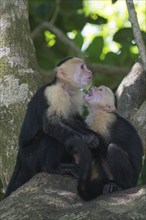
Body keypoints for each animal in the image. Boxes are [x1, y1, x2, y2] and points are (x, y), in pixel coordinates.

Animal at [4, 56, 100, 198]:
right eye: (82, 67)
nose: (89, 72)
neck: (66, 87)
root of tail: (20, 156)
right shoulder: (55, 93)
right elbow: (51, 124)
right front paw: (87, 139)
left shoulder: (76, 96)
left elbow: (72, 120)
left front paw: (92, 134)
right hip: (31, 157)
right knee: (50, 137)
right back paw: (53, 168)